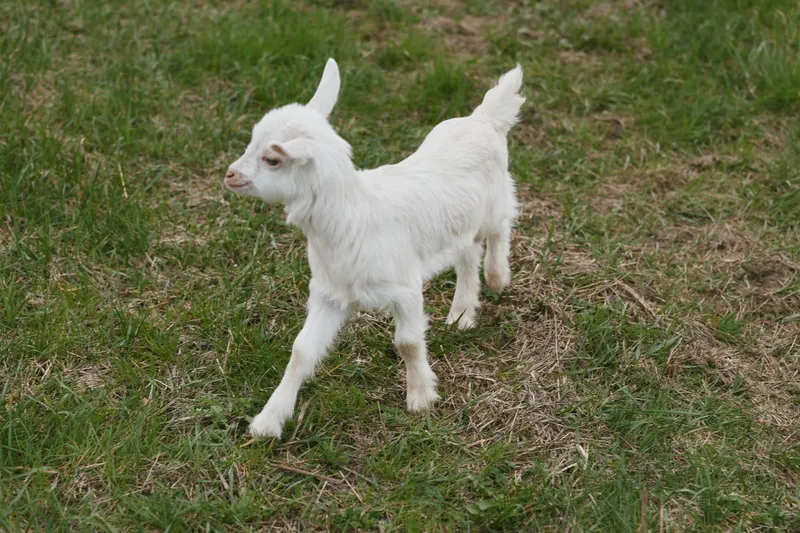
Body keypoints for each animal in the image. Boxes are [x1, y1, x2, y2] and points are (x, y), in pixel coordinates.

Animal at [225, 59, 524, 438]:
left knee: (502, 223)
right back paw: (461, 313)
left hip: (495, 198)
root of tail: (484, 118)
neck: (352, 217)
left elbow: (407, 342)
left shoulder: (405, 289)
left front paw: (421, 397)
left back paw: (498, 276)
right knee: (468, 252)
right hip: (457, 223)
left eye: (272, 159)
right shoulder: (329, 293)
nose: (230, 174)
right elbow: (301, 351)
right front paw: (269, 419)